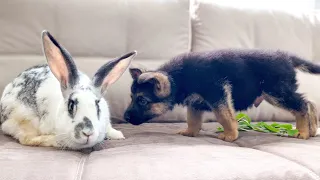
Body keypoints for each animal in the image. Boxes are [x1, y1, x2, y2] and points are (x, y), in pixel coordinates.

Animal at [124, 49, 318, 142]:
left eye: (142, 100)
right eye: (132, 98)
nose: (125, 117)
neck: (178, 78)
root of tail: (287, 57)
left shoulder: (217, 93)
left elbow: (224, 116)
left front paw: (231, 135)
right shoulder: (195, 103)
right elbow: (192, 119)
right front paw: (190, 132)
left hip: (276, 92)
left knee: (301, 106)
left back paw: (302, 132)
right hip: (277, 92)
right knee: (309, 103)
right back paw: (312, 130)